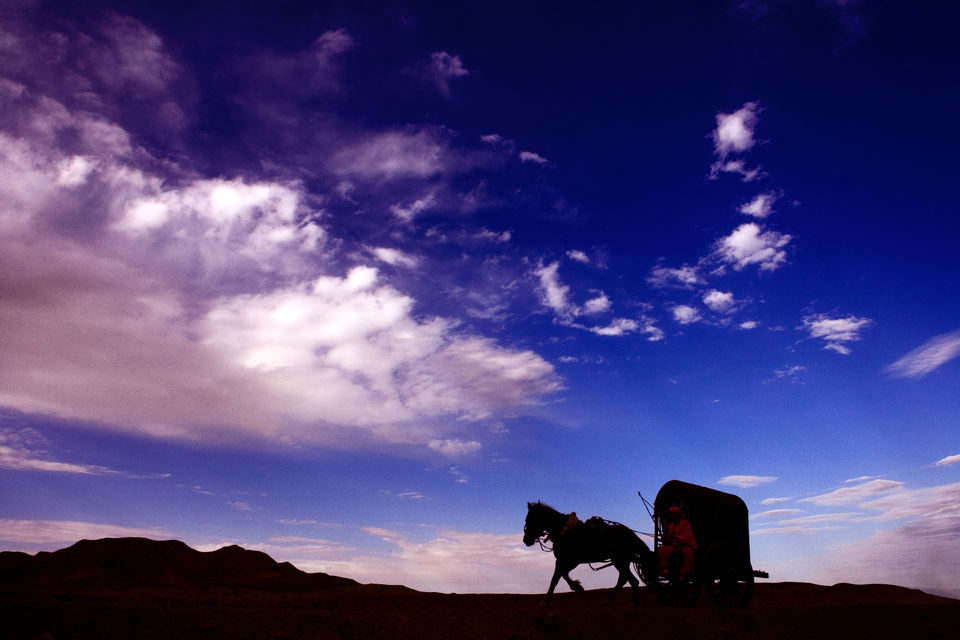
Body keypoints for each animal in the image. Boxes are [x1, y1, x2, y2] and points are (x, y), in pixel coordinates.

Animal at [524, 500, 652, 604]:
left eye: (530, 519)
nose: (526, 540)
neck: (564, 531)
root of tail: (630, 534)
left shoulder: (564, 560)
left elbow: (555, 579)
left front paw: (545, 601)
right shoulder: (571, 561)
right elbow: (564, 575)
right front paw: (578, 587)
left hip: (620, 561)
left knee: (630, 580)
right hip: (621, 561)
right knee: (628, 580)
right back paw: (623, 601)